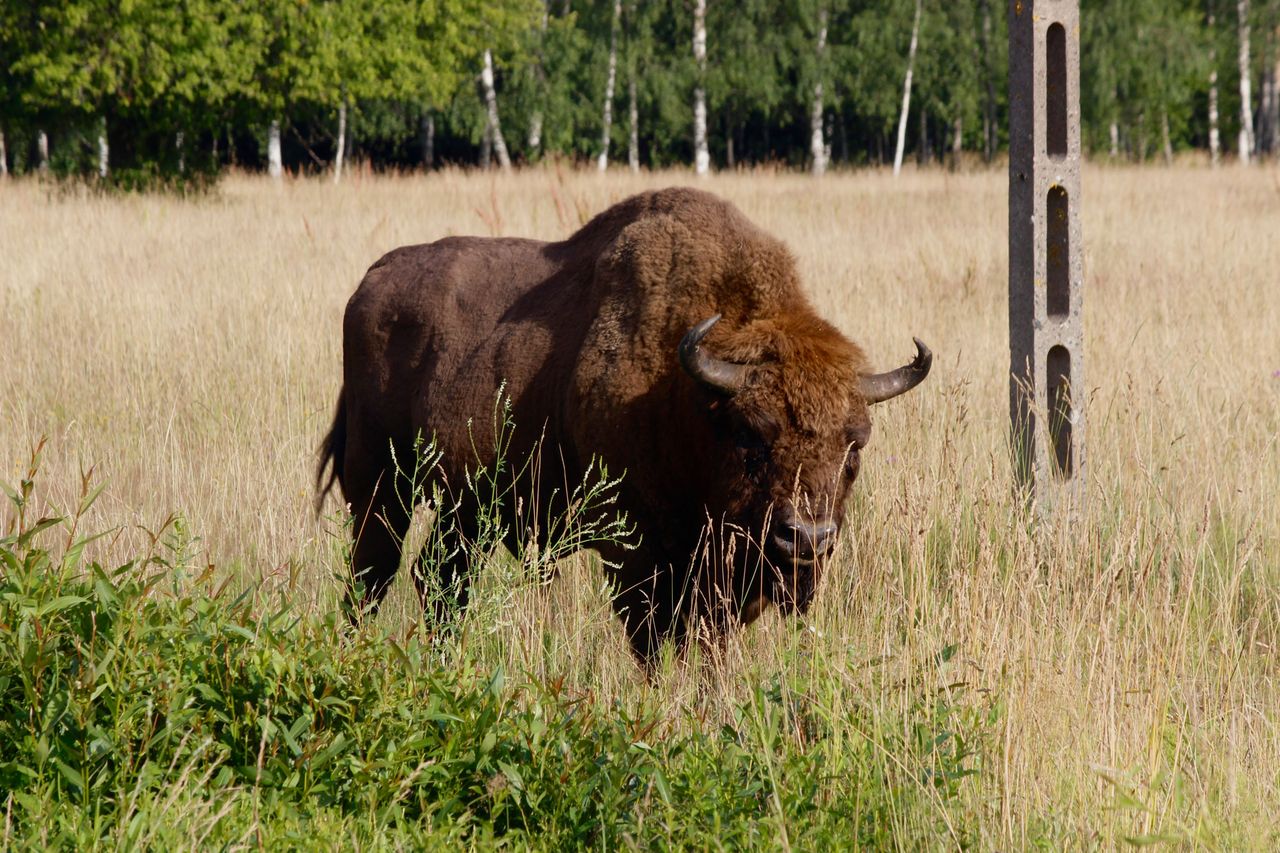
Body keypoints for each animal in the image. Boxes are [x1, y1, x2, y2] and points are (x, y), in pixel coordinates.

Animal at [317, 187, 930, 664]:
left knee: (441, 579)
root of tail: (371, 281)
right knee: (374, 572)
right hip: (380, 485)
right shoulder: (634, 548)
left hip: (465, 506)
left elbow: (709, 640)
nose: (805, 538)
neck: (688, 397)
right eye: (750, 435)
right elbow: (654, 637)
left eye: (854, 447)